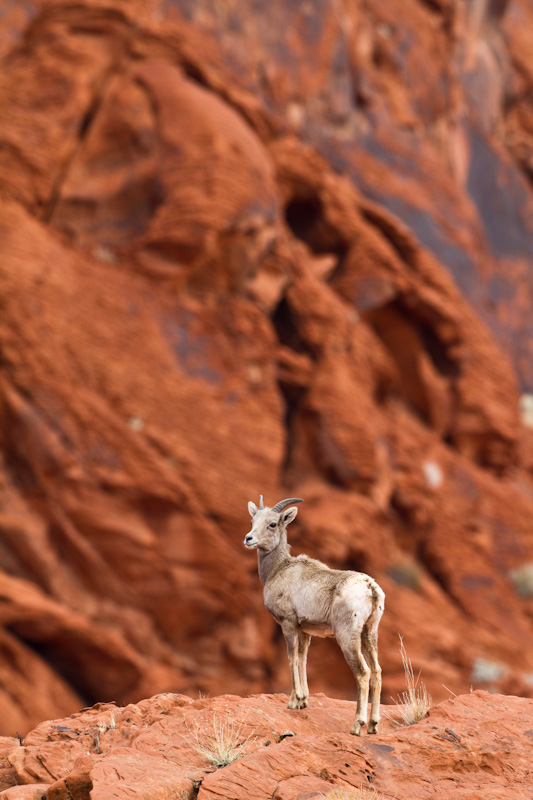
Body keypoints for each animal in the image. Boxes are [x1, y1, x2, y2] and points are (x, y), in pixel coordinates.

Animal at [243, 496, 384, 736]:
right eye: (253, 520)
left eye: (273, 524)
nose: (248, 538)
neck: (277, 570)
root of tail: (370, 588)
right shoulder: (305, 631)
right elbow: (302, 659)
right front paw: (303, 701)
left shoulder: (288, 625)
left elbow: (292, 658)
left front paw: (293, 702)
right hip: (369, 633)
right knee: (376, 671)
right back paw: (373, 725)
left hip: (347, 637)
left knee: (363, 673)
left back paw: (357, 725)